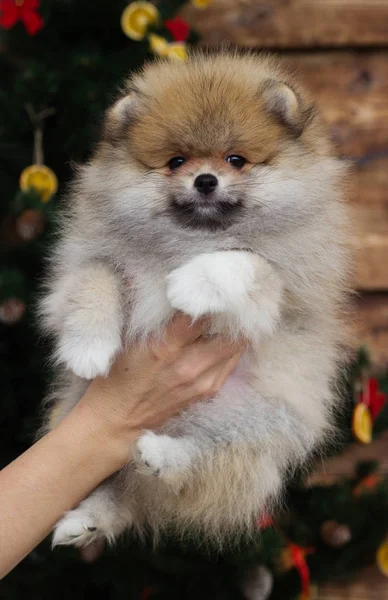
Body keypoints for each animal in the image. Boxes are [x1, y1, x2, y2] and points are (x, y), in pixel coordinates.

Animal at [39, 50, 352, 548]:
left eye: (235, 160)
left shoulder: (282, 289)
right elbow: (97, 280)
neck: (192, 238)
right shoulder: (79, 268)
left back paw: (159, 455)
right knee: (118, 485)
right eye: (176, 161)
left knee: (194, 463)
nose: (205, 179)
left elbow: (244, 259)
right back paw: (86, 519)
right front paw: (88, 348)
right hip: (80, 416)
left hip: (257, 419)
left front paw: (188, 284)